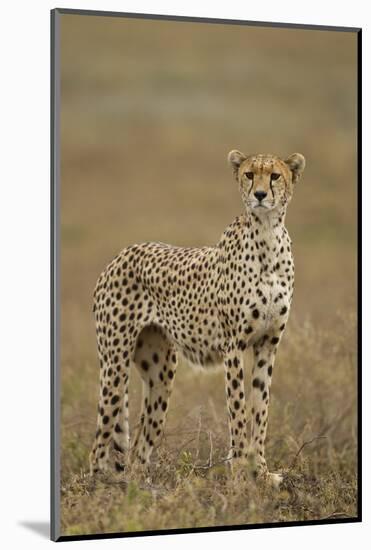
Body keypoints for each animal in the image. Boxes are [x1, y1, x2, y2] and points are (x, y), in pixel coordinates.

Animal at [89, 149, 306, 486]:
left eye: (274, 176)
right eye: (249, 174)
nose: (259, 195)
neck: (268, 236)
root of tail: (123, 252)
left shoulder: (268, 345)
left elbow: (261, 410)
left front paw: (261, 471)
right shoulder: (233, 347)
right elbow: (239, 411)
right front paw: (240, 472)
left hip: (161, 372)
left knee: (140, 444)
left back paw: (139, 483)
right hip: (115, 364)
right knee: (100, 438)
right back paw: (102, 484)